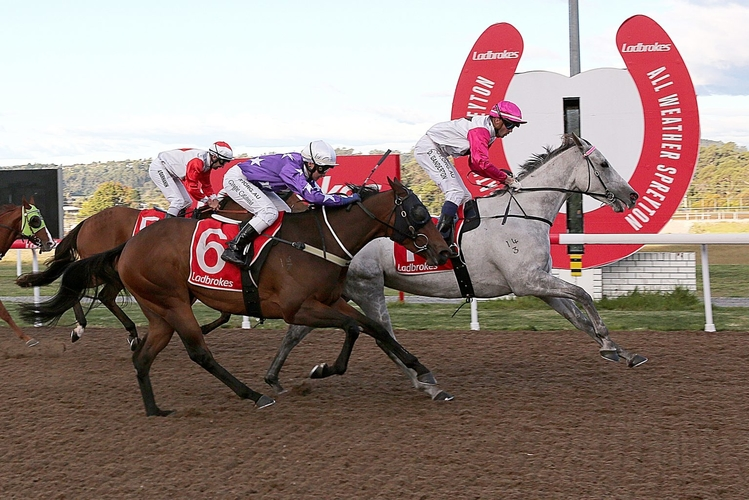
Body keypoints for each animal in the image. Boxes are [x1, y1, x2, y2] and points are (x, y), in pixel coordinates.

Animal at [21, 178, 450, 416]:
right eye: (417, 212)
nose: (445, 251)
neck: (318, 240)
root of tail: (128, 245)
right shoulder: (300, 308)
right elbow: (353, 329)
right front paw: (323, 369)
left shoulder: (329, 301)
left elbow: (373, 327)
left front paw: (426, 374)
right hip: (173, 303)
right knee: (197, 352)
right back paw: (254, 396)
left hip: (160, 311)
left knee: (143, 355)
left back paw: (155, 409)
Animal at [268, 135, 644, 400]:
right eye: (604, 163)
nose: (632, 195)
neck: (525, 213)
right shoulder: (527, 281)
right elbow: (584, 295)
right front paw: (609, 343)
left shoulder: (539, 284)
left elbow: (578, 317)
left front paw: (620, 352)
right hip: (366, 287)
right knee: (382, 335)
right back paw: (426, 383)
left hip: (332, 293)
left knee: (297, 331)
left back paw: (276, 378)